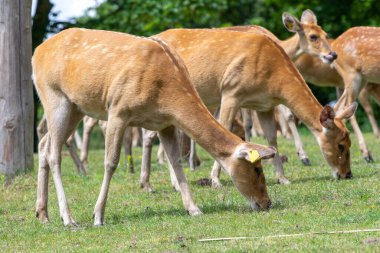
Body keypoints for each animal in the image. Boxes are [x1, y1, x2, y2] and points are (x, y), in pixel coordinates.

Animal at [31, 28, 276, 226]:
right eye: (256, 168)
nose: (267, 203)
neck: (165, 93)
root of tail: (36, 52)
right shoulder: (117, 109)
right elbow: (111, 162)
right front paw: (98, 216)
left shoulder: (165, 123)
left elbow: (176, 161)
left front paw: (194, 209)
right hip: (54, 97)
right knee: (53, 153)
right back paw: (67, 218)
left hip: (76, 107)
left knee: (43, 145)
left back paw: (42, 214)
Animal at [139, 27, 356, 192]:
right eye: (340, 145)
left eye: (349, 141)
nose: (347, 174)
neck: (274, 81)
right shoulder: (230, 91)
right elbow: (227, 129)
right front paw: (215, 180)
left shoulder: (265, 105)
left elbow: (272, 139)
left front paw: (283, 178)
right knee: (151, 135)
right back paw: (151, 184)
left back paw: (164, 183)